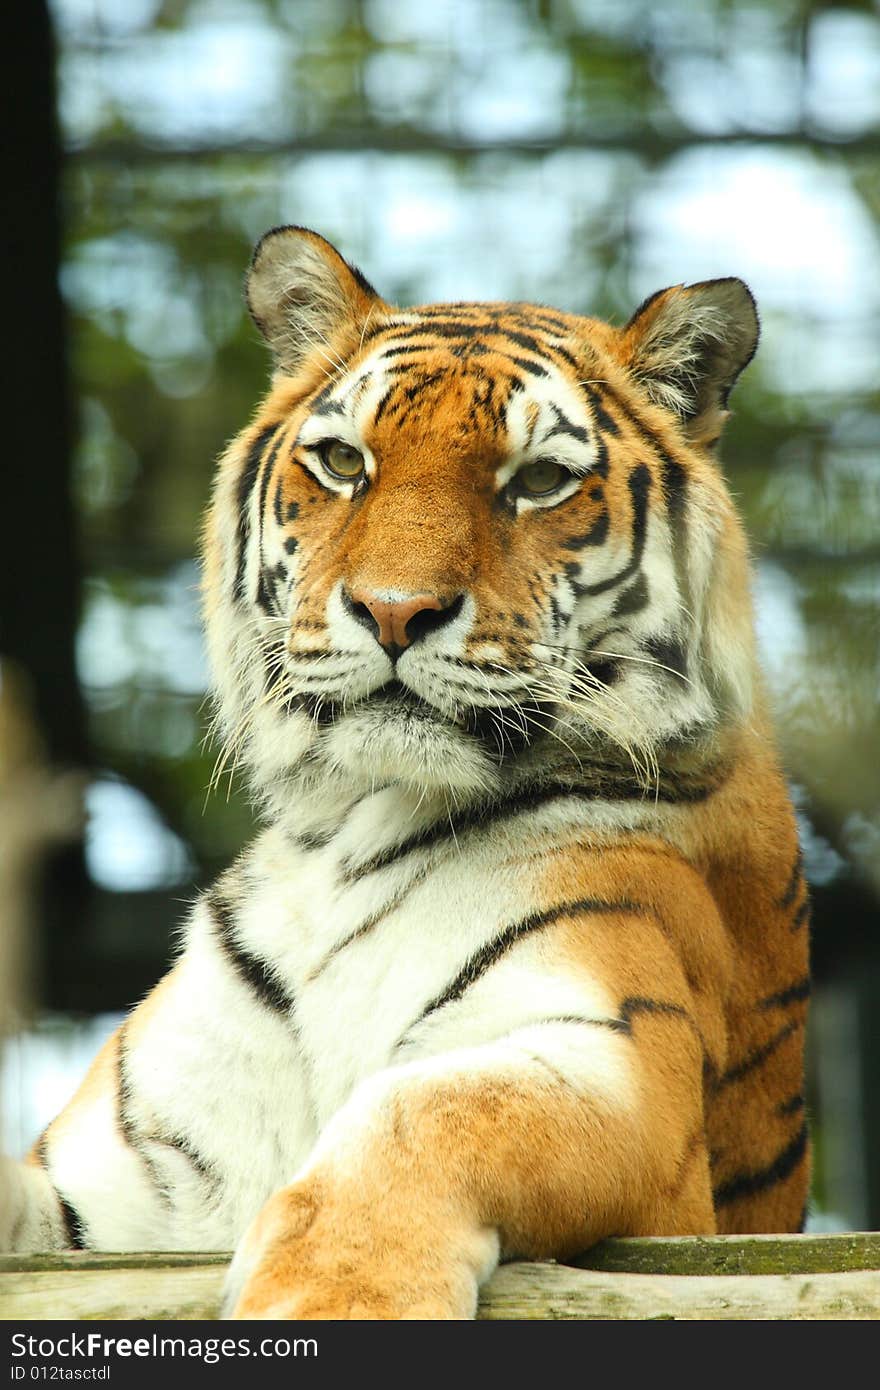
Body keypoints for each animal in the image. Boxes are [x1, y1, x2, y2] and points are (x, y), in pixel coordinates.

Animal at [0, 225, 811, 1312]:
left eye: (539, 481)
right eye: (345, 461)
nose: (393, 611)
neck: (344, 830)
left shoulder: (614, 1056)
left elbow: (427, 1108)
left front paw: (338, 1296)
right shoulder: (117, 1182)